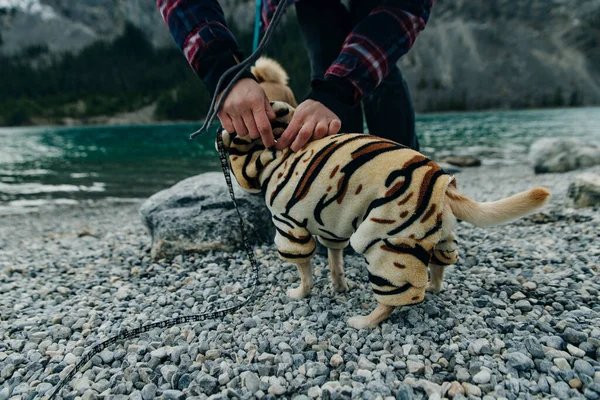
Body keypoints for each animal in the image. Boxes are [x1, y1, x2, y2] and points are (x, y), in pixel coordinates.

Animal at [219, 102, 548, 328]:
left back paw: (364, 321)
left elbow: (305, 272)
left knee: (392, 299)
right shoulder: (331, 228)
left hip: (384, 245)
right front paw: (339, 287)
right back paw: (432, 286)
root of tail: (442, 184)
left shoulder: (290, 228)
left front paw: (300, 293)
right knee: (439, 270)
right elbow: (335, 263)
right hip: (440, 240)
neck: (279, 154)